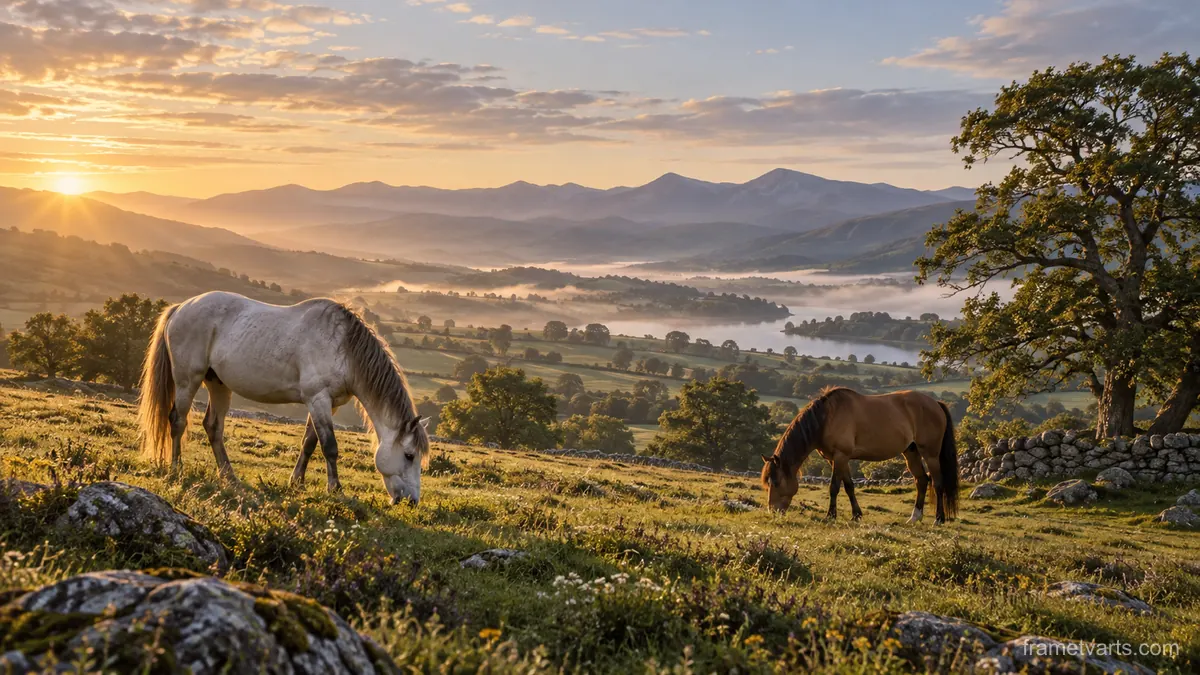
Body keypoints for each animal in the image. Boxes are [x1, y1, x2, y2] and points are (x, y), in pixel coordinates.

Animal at [137, 291, 429, 504]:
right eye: (409, 455)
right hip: (188, 380)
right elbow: (329, 446)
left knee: (213, 427)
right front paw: (335, 489)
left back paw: (229, 476)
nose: (411, 501)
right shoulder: (318, 399)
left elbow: (309, 443)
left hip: (218, 384)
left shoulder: (327, 404)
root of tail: (181, 307)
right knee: (177, 421)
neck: (343, 347)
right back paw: (176, 468)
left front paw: (296, 482)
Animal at [761, 387, 958, 524]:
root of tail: (936, 404)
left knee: (937, 483)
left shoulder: (840, 456)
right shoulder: (838, 459)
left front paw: (830, 515)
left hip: (930, 454)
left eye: (775, 482)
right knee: (922, 480)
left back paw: (939, 518)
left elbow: (834, 486)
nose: (772, 511)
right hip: (911, 452)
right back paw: (915, 517)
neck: (826, 418)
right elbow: (849, 486)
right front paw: (856, 515)